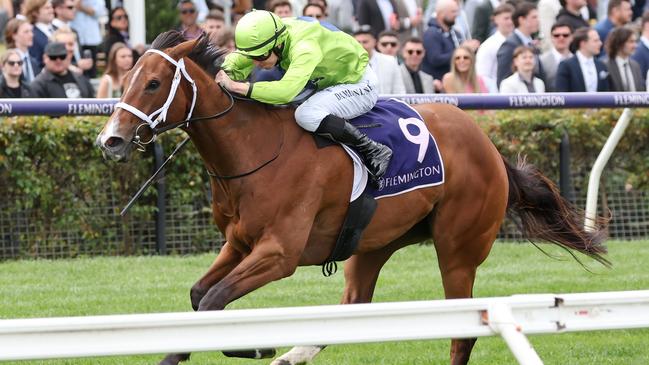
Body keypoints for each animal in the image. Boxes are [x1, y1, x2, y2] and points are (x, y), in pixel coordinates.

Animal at [96, 32, 608, 364]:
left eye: (154, 83)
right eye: (126, 77)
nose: (111, 140)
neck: (255, 150)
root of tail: (490, 147)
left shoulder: (278, 253)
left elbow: (211, 302)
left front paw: (258, 343)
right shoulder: (238, 244)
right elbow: (200, 296)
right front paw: (257, 345)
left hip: (458, 248)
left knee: (462, 333)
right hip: (373, 242)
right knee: (353, 306)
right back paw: (293, 353)